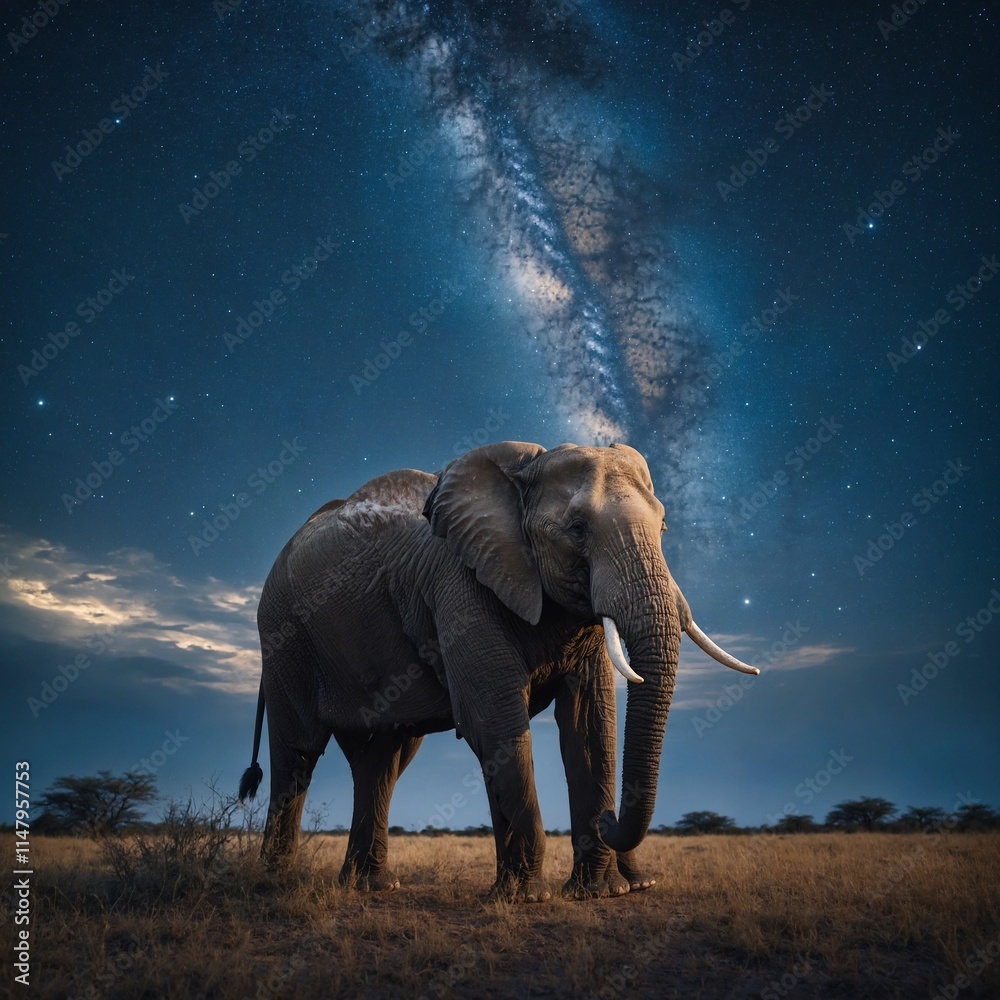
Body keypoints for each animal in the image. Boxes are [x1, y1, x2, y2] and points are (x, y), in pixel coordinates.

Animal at [239, 441, 758, 901]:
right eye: (577, 528)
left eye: (664, 526)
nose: (610, 822)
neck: (525, 474)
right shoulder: (458, 585)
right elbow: (495, 720)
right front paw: (528, 898)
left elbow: (588, 726)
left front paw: (605, 892)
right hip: (284, 636)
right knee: (298, 755)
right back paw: (277, 883)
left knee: (383, 760)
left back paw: (371, 886)